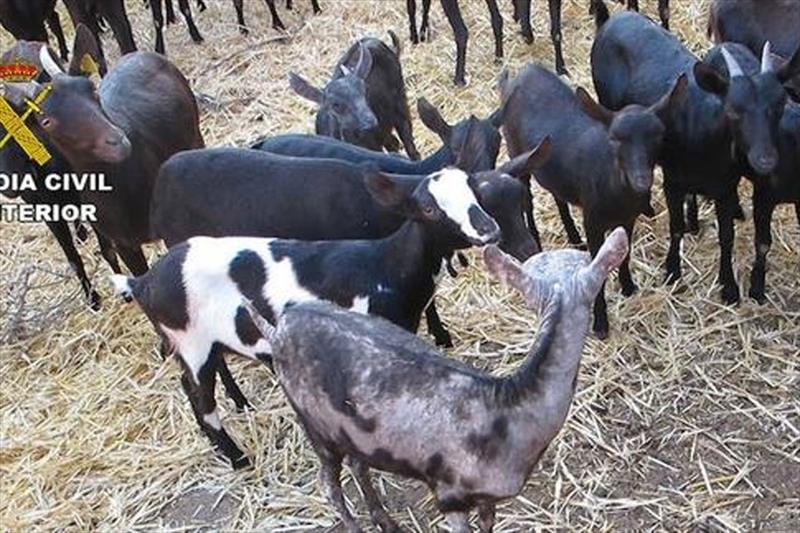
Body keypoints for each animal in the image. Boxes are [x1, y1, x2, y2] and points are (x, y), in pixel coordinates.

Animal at [112, 159, 559, 469]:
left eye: (475, 195)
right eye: (430, 210)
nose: (488, 230)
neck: (385, 266)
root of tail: (144, 282)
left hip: (208, 337)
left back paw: (243, 405)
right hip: (190, 341)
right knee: (198, 400)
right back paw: (238, 459)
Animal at [242, 228, 628, 532]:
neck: (508, 409)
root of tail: (278, 329)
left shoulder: (487, 496)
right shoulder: (449, 493)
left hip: (350, 429)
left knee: (357, 463)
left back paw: (386, 520)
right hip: (312, 420)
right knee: (329, 483)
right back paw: (354, 525)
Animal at [499, 62, 686, 338]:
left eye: (659, 136)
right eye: (615, 138)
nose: (641, 180)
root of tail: (524, 71)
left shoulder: (627, 219)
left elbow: (625, 255)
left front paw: (628, 287)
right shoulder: (593, 221)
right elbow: (597, 271)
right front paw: (600, 324)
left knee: (558, 195)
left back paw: (574, 237)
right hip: (517, 153)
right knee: (527, 199)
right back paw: (537, 240)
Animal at [590, 4, 800, 305]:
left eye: (780, 104)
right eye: (733, 109)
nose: (765, 159)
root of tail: (613, 19)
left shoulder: (725, 187)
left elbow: (726, 236)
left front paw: (729, 287)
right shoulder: (672, 182)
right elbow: (675, 227)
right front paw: (672, 272)